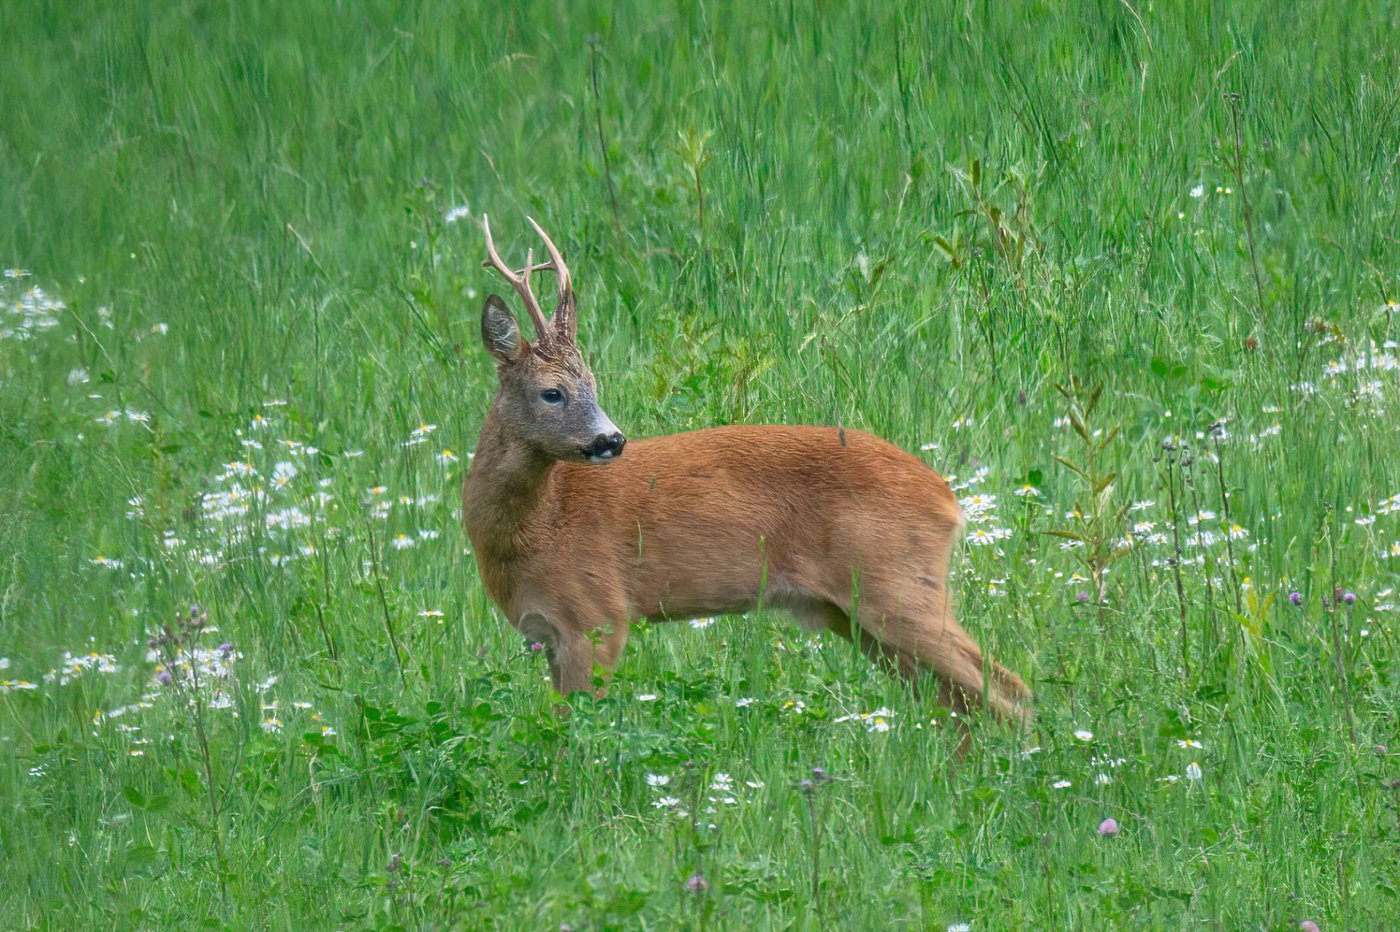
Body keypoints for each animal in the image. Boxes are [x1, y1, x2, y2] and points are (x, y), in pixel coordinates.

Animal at [463, 216, 1030, 725]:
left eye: (594, 384)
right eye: (552, 392)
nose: (611, 440)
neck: (537, 528)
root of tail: (949, 499)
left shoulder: (598, 616)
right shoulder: (548, 634)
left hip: (896, 585)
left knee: (1006, 690)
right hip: (857, 613)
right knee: (960, 703)